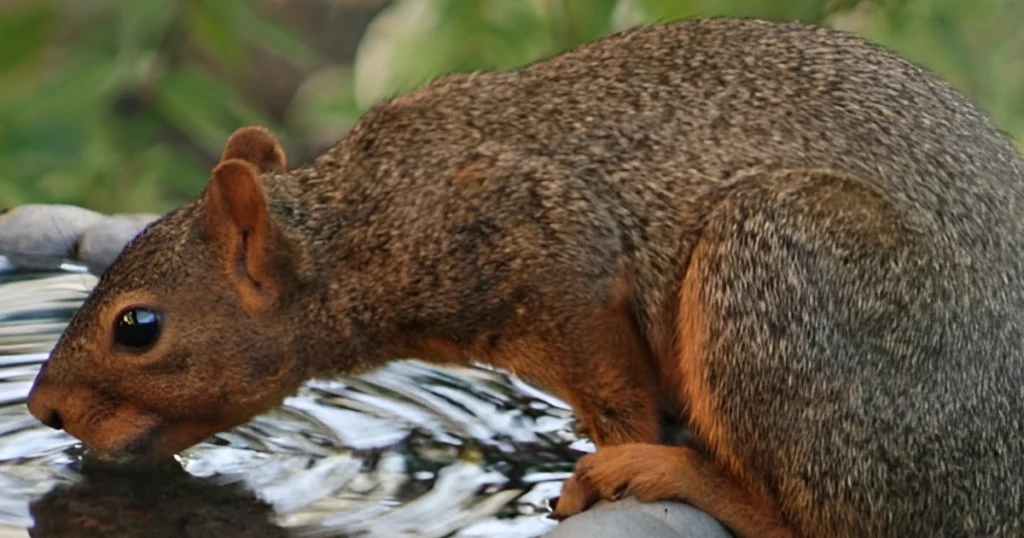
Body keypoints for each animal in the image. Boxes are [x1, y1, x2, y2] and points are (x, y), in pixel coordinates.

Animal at [22, 16, 1024, 536]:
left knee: (819, 521)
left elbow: (614, 391)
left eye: (138, 327)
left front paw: (592, 475)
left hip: (788, 267)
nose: (44, 411)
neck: (370, 222)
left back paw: (674, 476)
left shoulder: (550, 252)